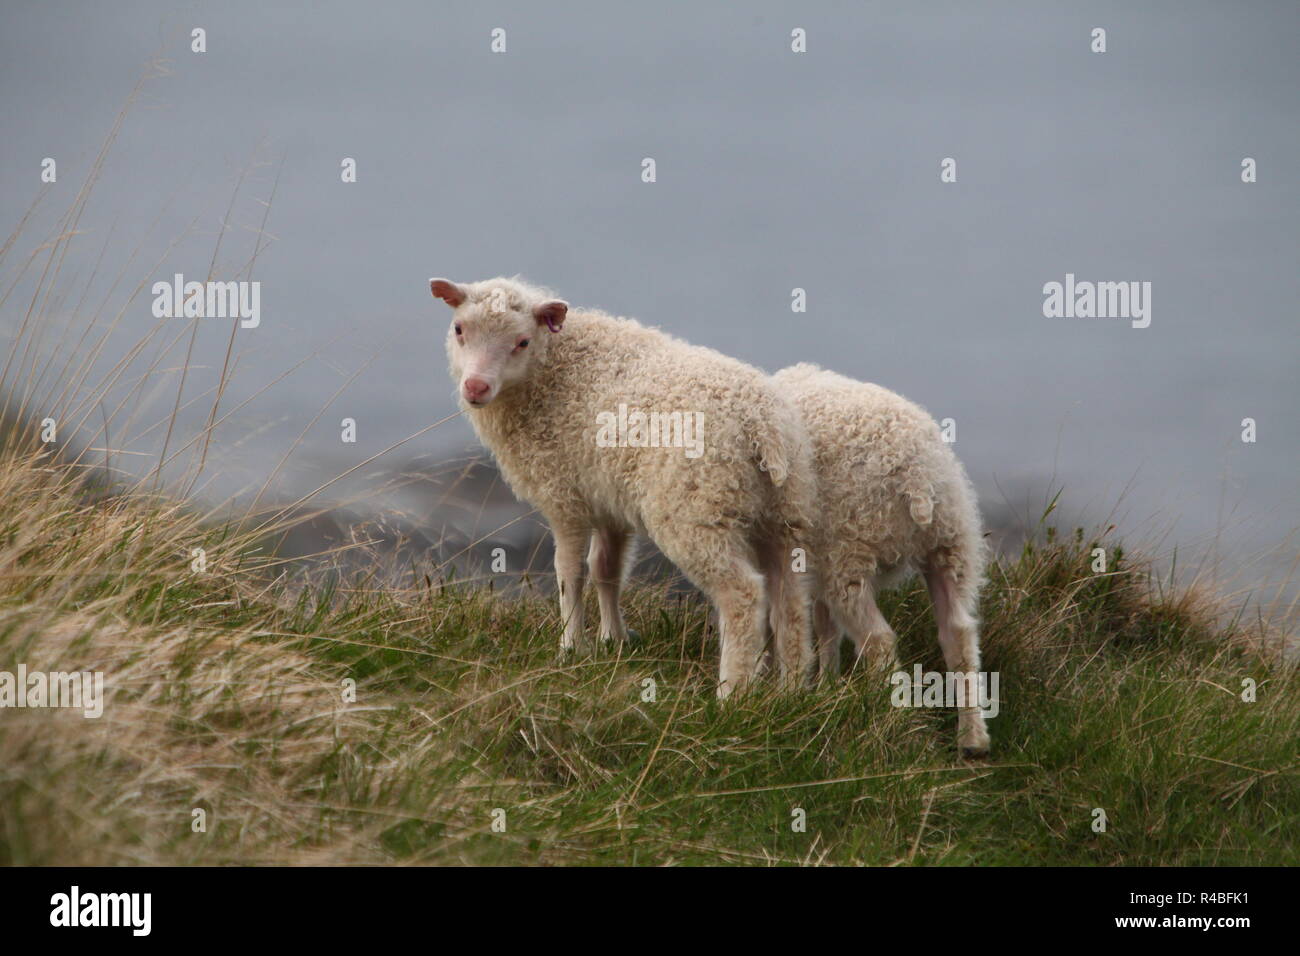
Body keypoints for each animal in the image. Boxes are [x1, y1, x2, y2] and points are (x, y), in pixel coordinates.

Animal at [431, 276, 817, 697]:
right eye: (459, 329)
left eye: (522, 342)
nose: (475, 387)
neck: (553, 371)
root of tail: (761, 424)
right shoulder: (607, 500)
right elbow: (606, 568)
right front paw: (612, 640)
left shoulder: (563, 495)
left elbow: (570, 572)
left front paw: (570, 647)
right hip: (783, 513)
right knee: (791, 600)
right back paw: (792, 688)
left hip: (697, 511)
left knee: (744, 594)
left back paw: (731, 692)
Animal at [771, 363, 991, 757]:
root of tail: (916, 475)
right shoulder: (814, 562)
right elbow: (825, 625)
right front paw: (827, 685)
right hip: (951, 543)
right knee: (959, 633)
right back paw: (972, 738)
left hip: (849, 550)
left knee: (879, 639)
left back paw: (890, 719)